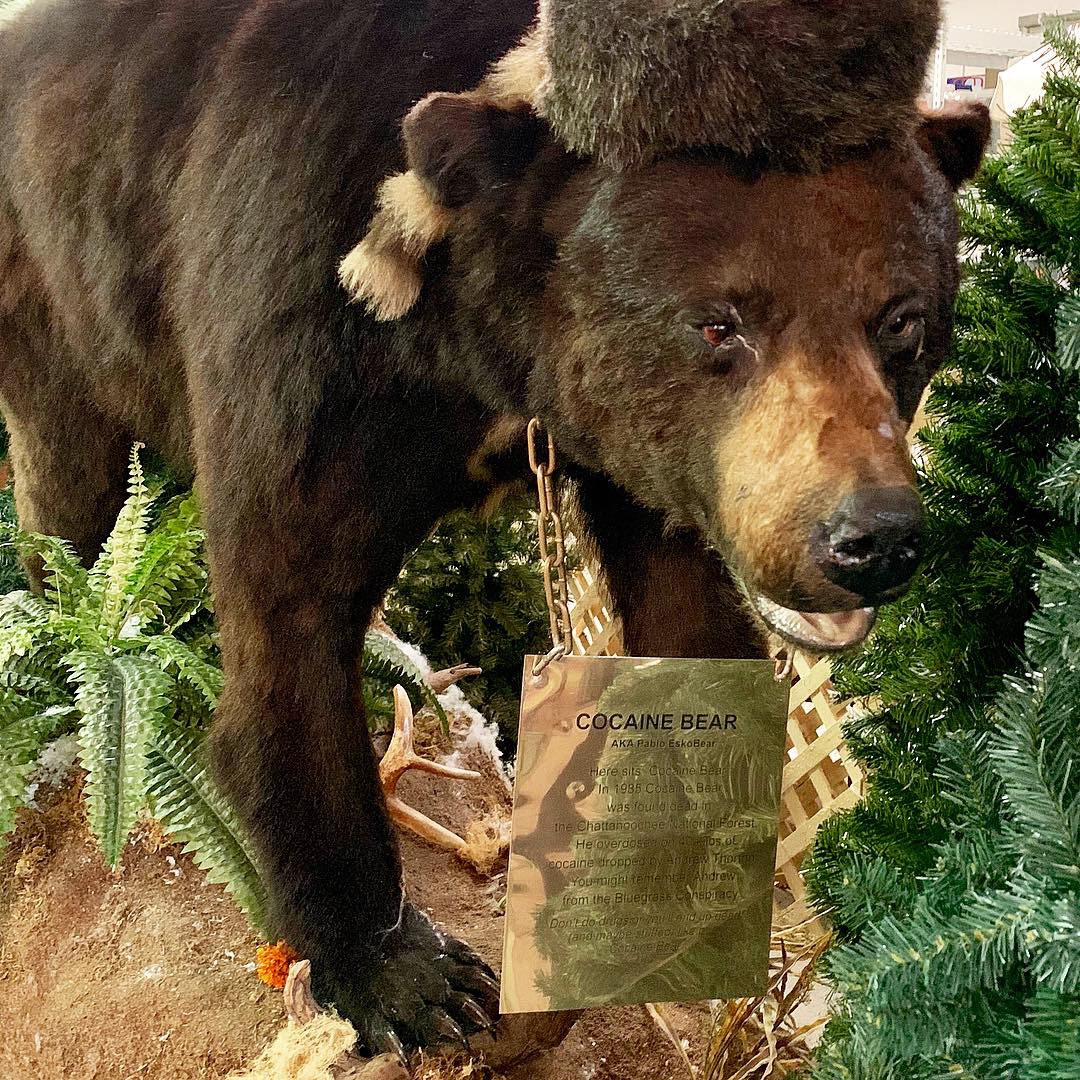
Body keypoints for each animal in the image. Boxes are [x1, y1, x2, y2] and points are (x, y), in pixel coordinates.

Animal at [0, 0, 990, 1057]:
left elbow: (688, 613)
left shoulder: (637, 454)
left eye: (903, 318)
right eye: (719, 323)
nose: (871, 538)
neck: (473, 337)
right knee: (75, 491)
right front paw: (408, 976)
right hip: (50, 302)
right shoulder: (307, 308)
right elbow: (288, 611)